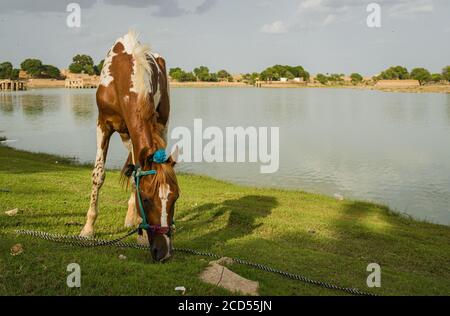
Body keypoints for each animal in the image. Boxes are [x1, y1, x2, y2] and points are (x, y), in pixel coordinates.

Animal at [79, 30, 179, 262]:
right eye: (147, 200)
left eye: (175, 198)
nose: (164, 252)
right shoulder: (103, 125)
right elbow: (98, 175)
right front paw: (88, 228)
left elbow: (135, 177)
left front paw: (140, 234)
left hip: (161, 126)